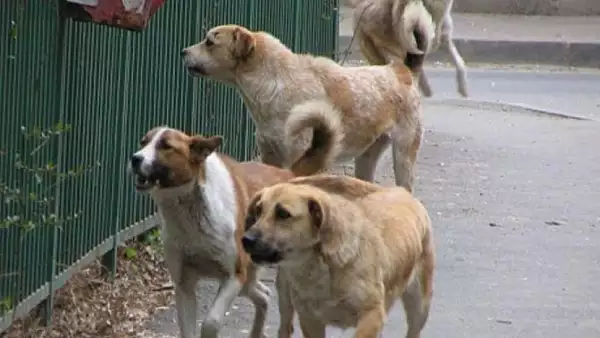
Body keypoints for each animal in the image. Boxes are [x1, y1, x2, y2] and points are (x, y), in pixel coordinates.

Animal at [130, 126, 294, 338]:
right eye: (143, 142)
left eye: (166, 146)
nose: (135, 158)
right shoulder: (184, 285)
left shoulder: (234, 276)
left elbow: (211, 322)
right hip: (248, 280)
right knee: (264, 295)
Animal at [182, 24, 426, 193]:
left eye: (209, 42)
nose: (183, 51)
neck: (274, 81)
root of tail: (400, 71)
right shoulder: (270, 155)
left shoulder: (303, 158)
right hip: (366, 158)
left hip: (403, 156)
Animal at [241, 174, 434, 338]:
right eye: (258, 211)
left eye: (283, 214)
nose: (246, 239)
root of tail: (402, 192)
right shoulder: (311, 320)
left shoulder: (372, 316)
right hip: (285, 298)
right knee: (285, 327)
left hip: (419, 308)